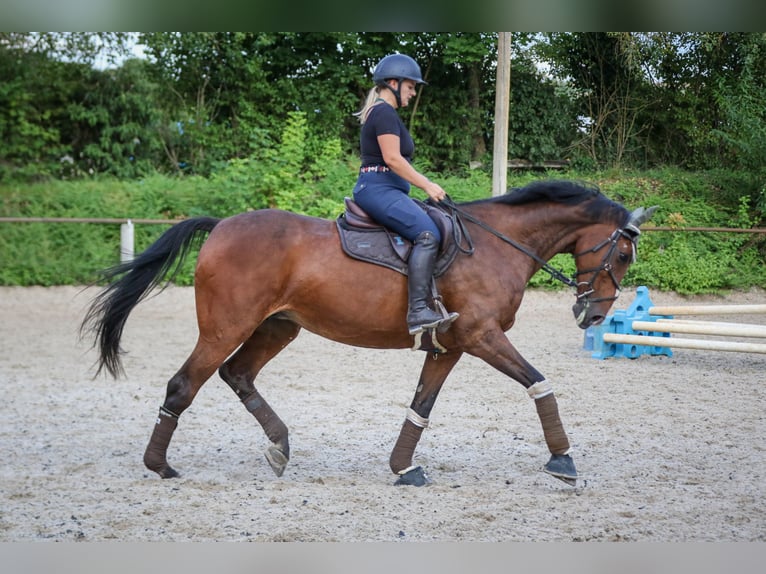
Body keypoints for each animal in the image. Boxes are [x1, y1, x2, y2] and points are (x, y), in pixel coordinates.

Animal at [81, 179, 657, 487]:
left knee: (236, 374)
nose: (593, 317)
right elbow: (540, 383)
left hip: (277, 327)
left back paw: (279, 446)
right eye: (624, 254)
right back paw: (160, 466)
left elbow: (421, 407)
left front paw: (404, 467)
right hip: (227, 326)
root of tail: (221, 225)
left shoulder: (451, 346)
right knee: (185, 384)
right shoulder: (482, 336)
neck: (498, 245)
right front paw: (563, 460)